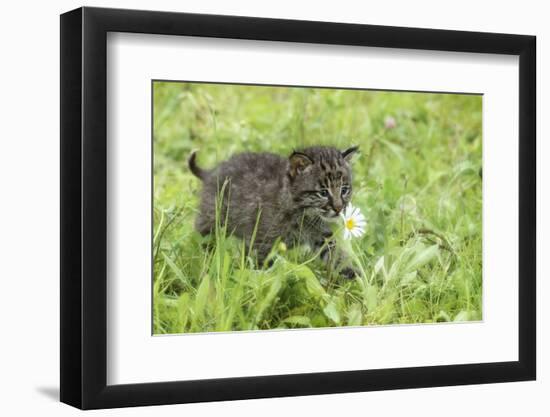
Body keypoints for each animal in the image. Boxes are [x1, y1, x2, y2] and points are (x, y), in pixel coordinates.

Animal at [190, 145, 362, 278]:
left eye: (344, 190)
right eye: (323, 193)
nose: (338, 208)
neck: (303, 214)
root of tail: (212, 171)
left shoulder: (323, 236)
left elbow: (337, 255)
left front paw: (354, 274)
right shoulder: (262, 242)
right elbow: (261, 267)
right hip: (213, 218)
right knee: (202, 235)